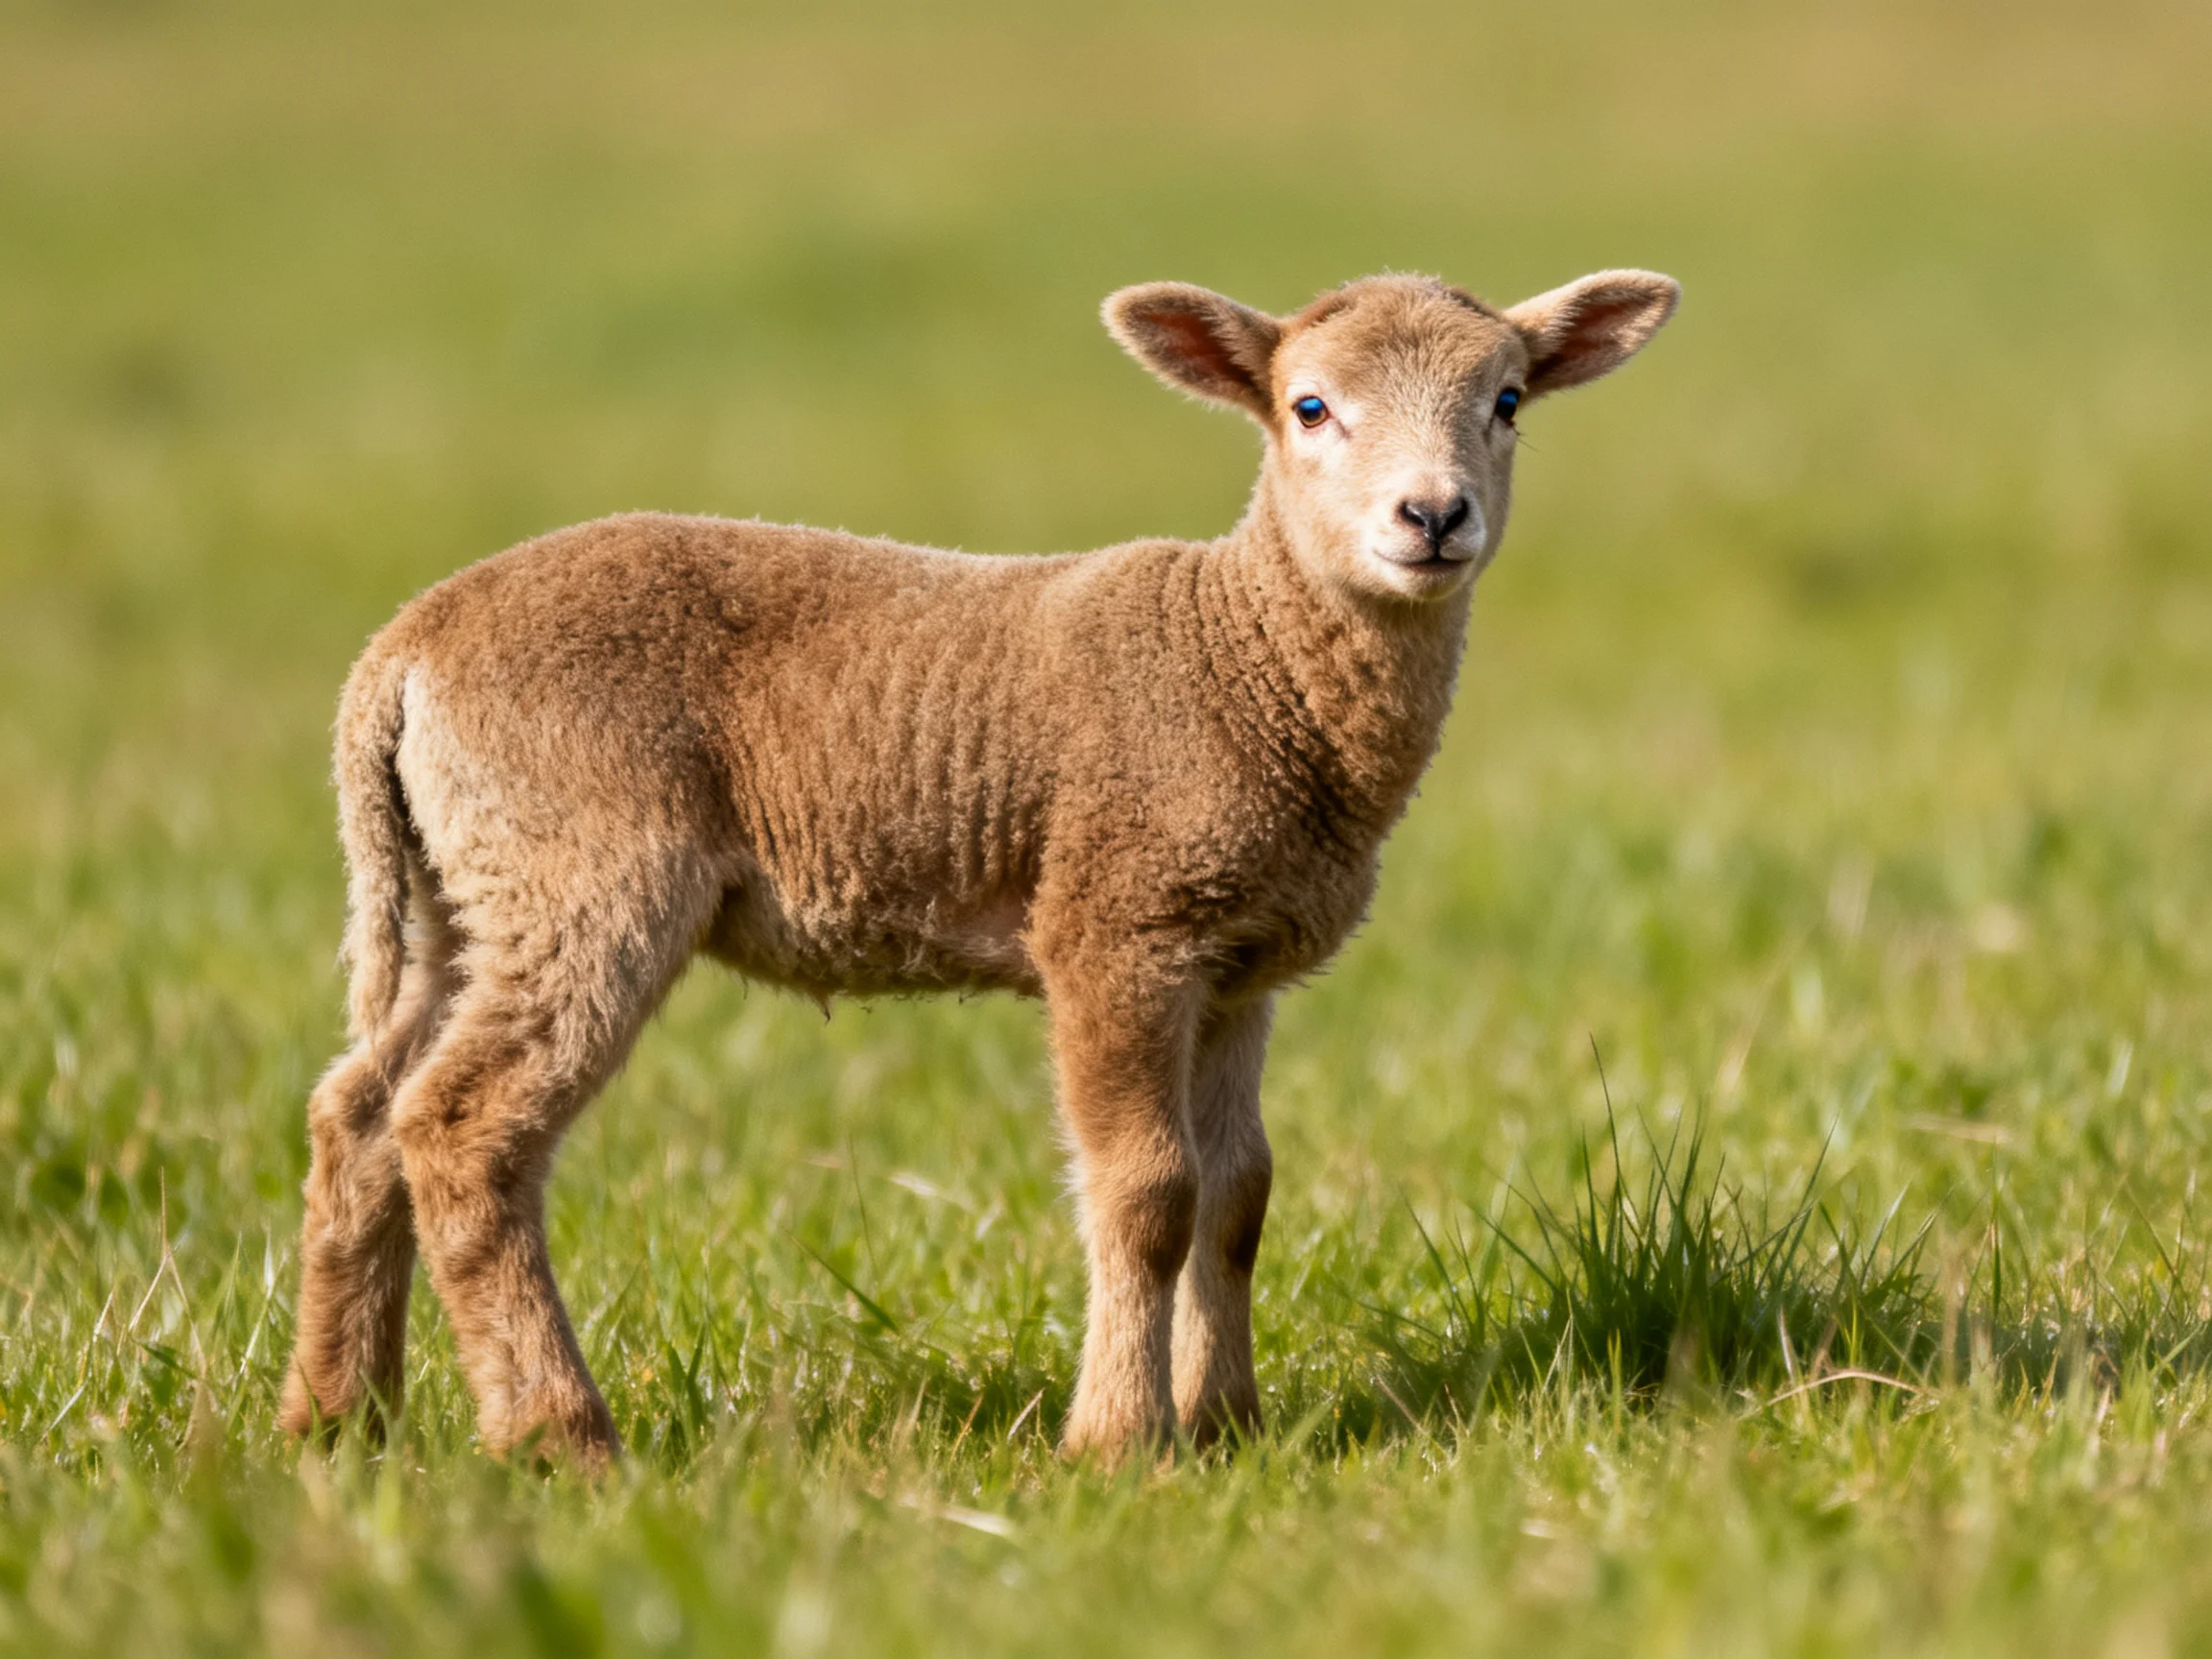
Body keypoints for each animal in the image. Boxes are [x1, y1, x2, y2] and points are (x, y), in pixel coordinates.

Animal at [278, 267, 1680, 1467]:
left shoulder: (1239, 967)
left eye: (1507, 401)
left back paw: (339, 1421)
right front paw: (1119, 1445)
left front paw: (1227, 1426)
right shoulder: (1116, 926)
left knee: (360, 1113)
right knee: (464, 1129)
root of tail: (402, 652)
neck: (1246, 654)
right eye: (1310, 407)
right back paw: (559, 1439)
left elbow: (1239, 1196)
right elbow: (1150, 1193)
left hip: (468, 887)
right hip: (581, 868)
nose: (1432, 516)